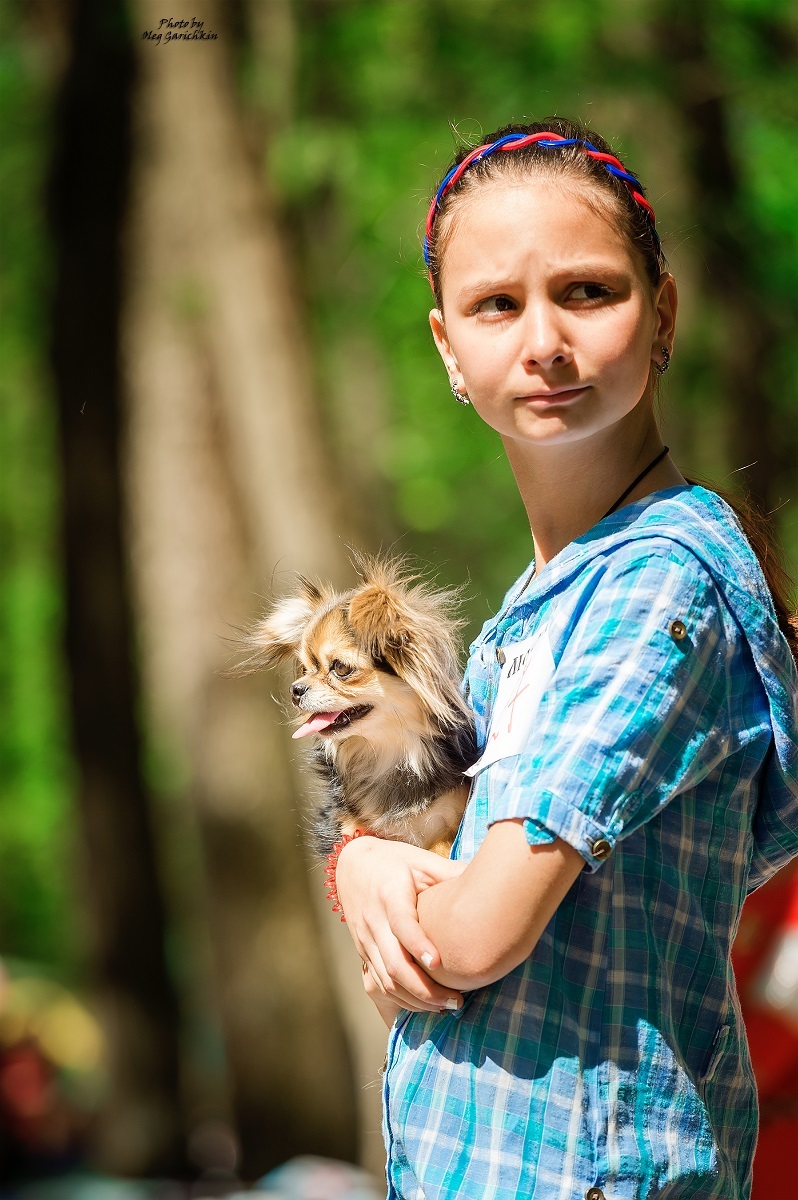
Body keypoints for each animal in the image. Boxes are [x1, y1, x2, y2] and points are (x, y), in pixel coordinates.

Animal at [242, 556, 475, 859]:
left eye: (340, 667)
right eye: (305, 669)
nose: (295, 690)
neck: (390, 754)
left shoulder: (447, 819)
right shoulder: (351, 828)